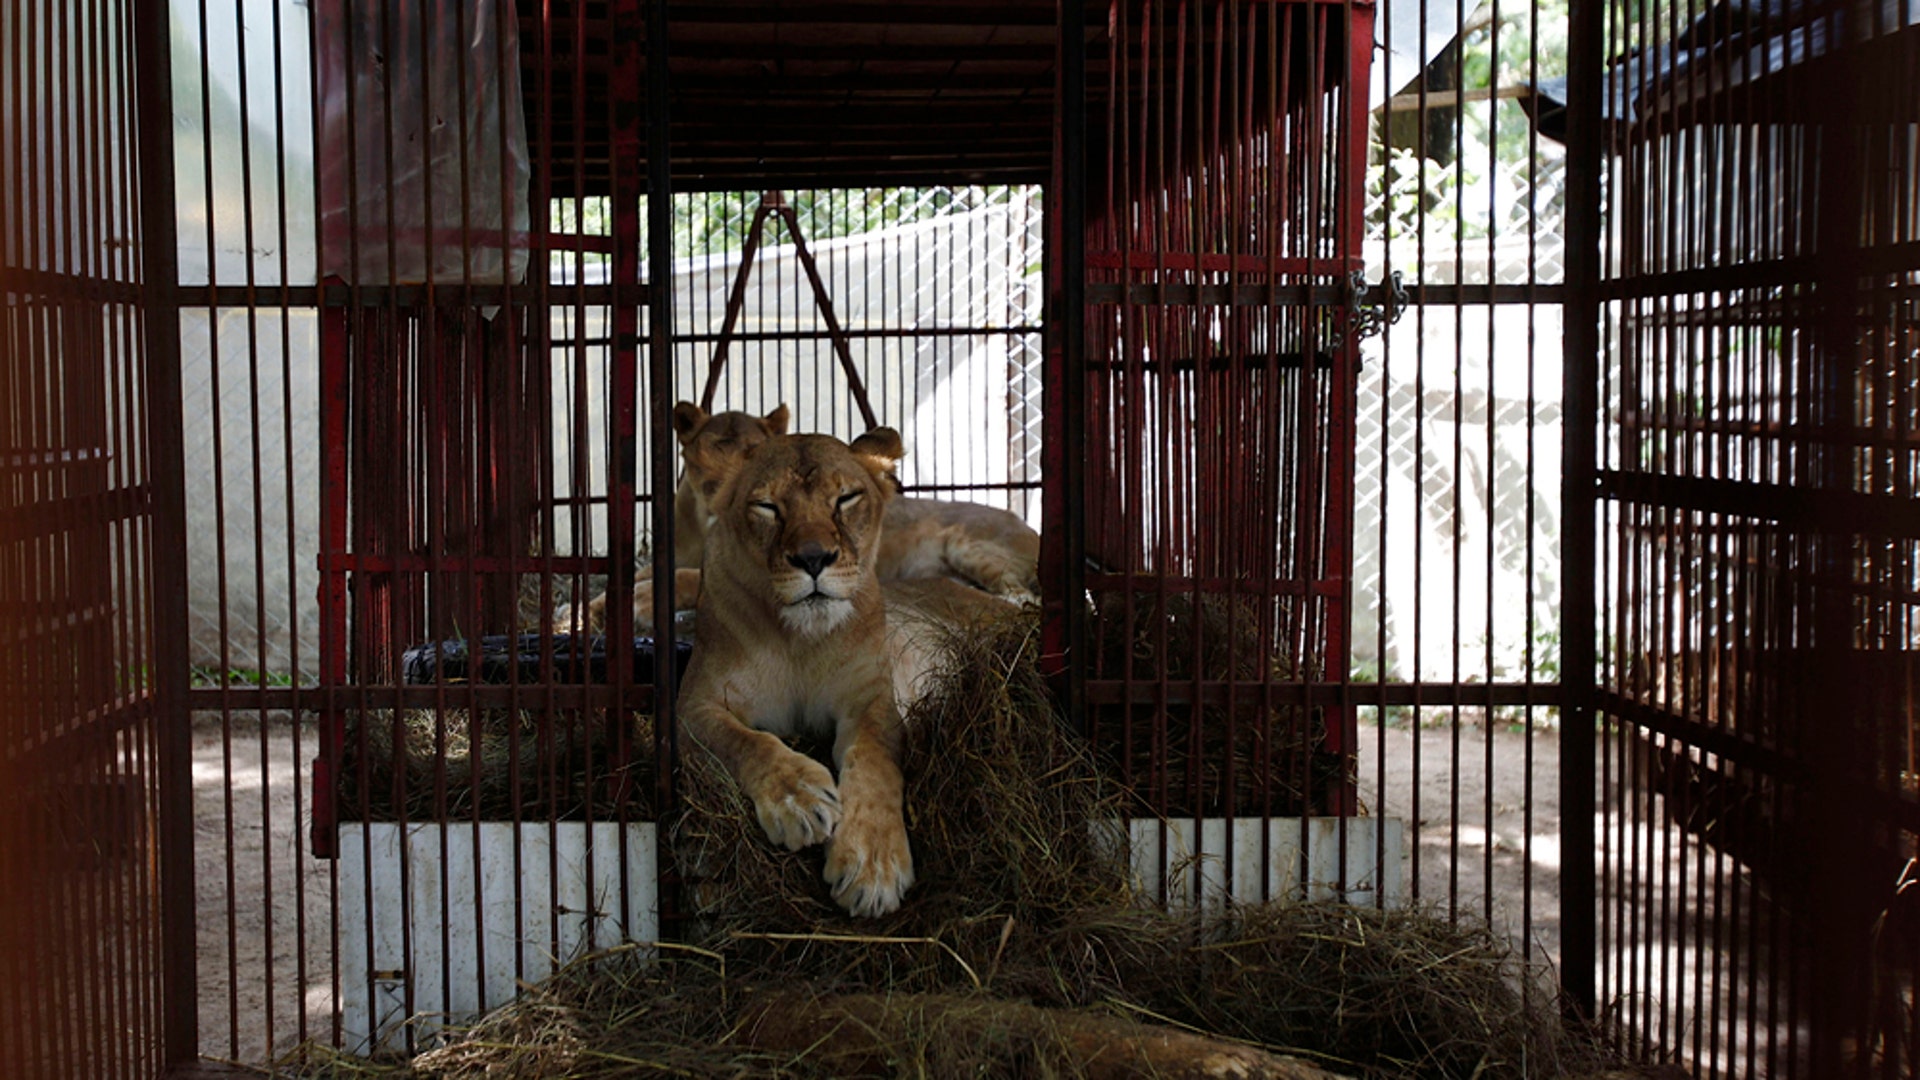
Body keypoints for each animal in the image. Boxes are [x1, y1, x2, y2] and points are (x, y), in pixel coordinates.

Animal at [676, 428, 1002, 917]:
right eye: (767, 506)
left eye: (845, 498)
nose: (813, 558)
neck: (800, 642)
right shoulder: (693, 704)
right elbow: (742, 740)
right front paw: (799, 799)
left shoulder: (871, 699)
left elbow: (874, 762)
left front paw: (873, 865)